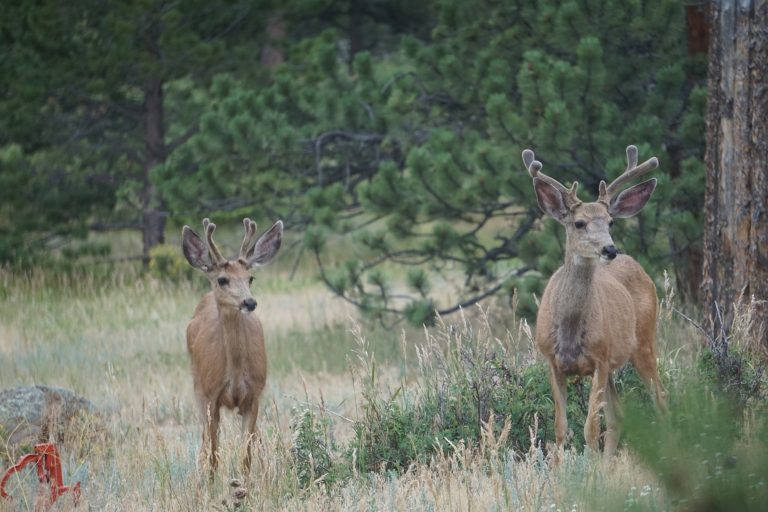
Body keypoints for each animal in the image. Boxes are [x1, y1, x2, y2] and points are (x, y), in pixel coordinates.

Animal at [182, 218, 284, 478]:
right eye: (222, 279)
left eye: (250, 278)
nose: (249, 302)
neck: (235, 373)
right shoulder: (210, 396)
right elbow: (213, 454)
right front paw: (211, 485)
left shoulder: (254, 395)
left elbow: (245, 456)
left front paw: (243, 484)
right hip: (197, 386)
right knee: (205, 440)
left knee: (256, 438)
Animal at [524, 146, 668, 454]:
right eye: (579, 223)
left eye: (611, 221)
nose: (610, 249)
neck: (569, 330)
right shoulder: (552, 360)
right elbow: (561, 428)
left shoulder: (599, 360)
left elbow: (590, 428)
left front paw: (588, 466)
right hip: (614, 364)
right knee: (619, 415)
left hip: (644, 342)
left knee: (661, 399)